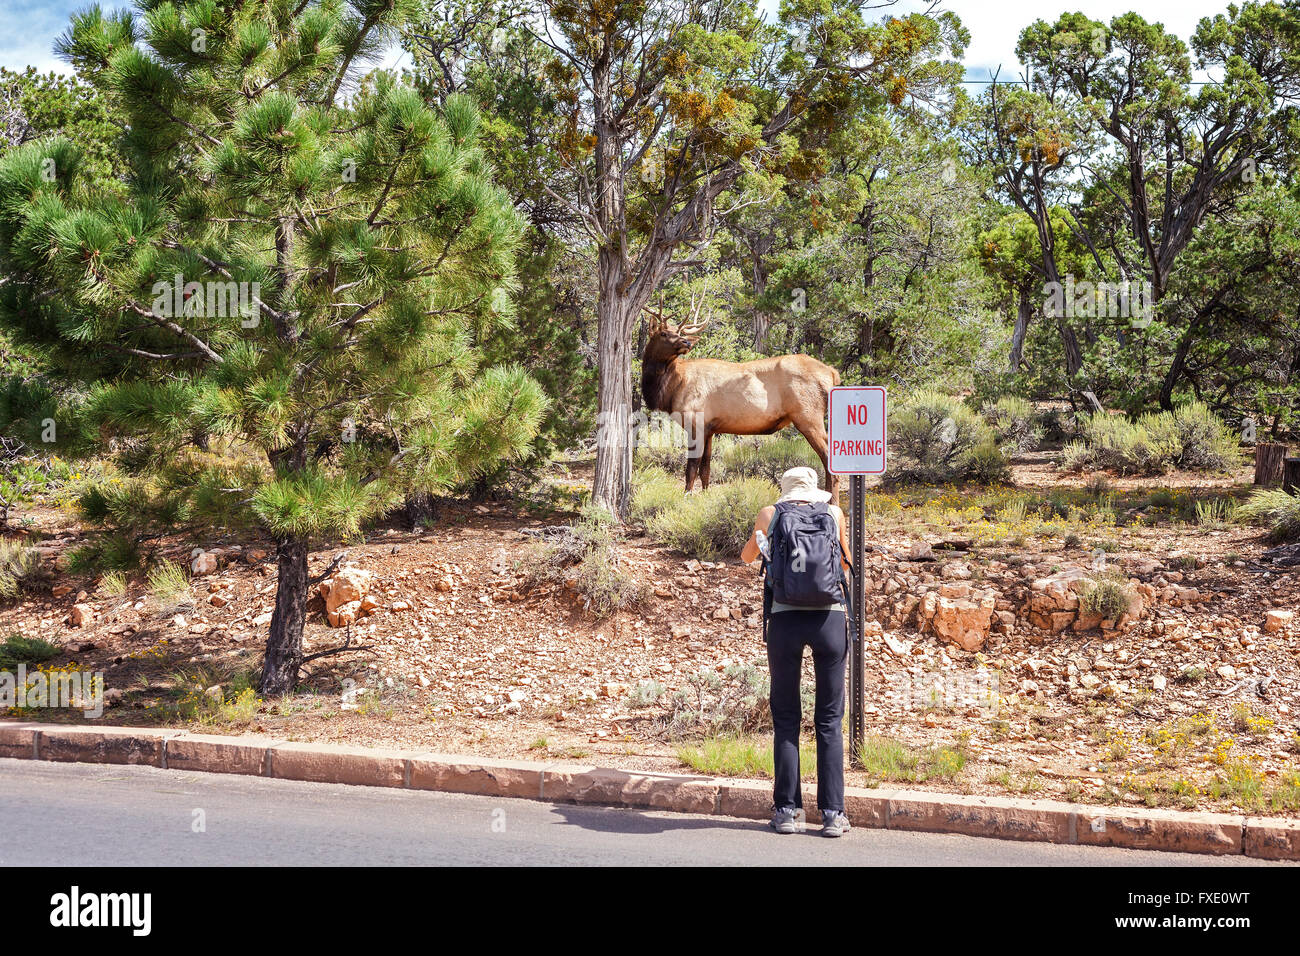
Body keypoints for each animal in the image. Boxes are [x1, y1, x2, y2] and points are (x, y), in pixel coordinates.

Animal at [639, 308, 842, 503]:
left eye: (678, 332)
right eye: (663, 333)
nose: (686, 343)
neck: (672, 388)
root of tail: (833, 373)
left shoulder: (696, 423)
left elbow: (691, 469)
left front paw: (687, 498)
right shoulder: (709, 429)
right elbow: (706, 470)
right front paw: (705, 497)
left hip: (808, 416)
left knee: (829, 461)